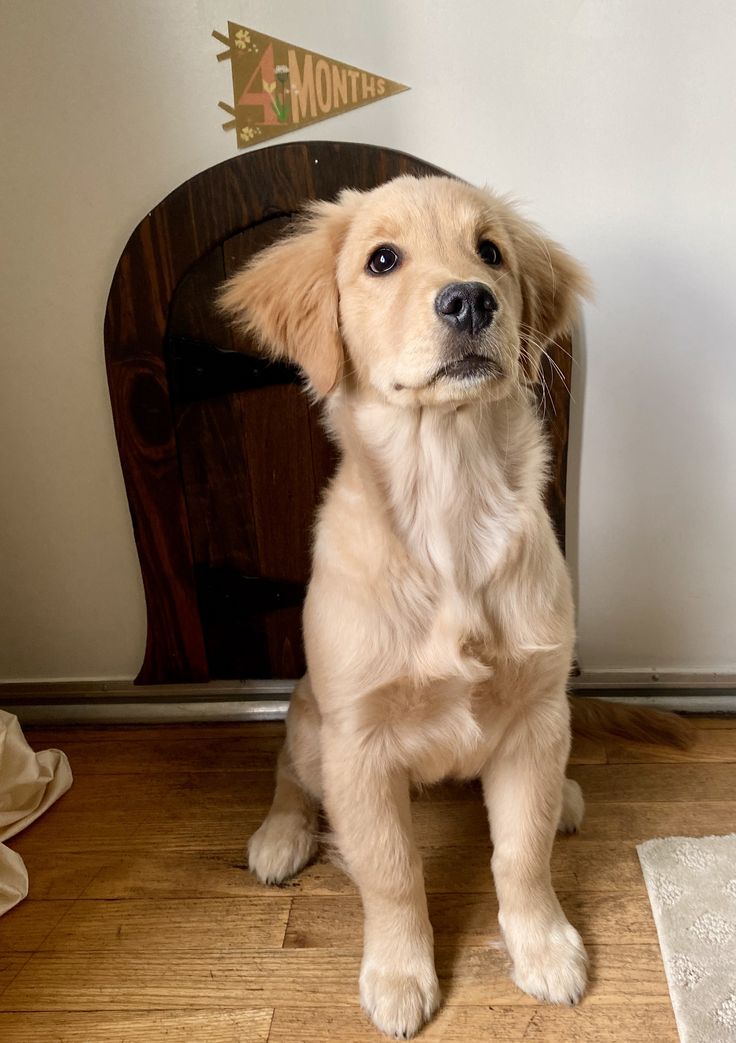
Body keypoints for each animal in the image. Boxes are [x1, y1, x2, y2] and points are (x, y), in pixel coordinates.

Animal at [218, 175, 592, 1038]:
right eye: (381, 260)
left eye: (490, 250)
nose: (471, 300)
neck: (451, 502)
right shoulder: (359, 738)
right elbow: (391, 870)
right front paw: (398, 972)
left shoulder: (536, 713)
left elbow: (521, 852)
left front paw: (543, 945)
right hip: (310, 717)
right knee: (289, 768)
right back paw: (282, 833)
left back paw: (566, 796)